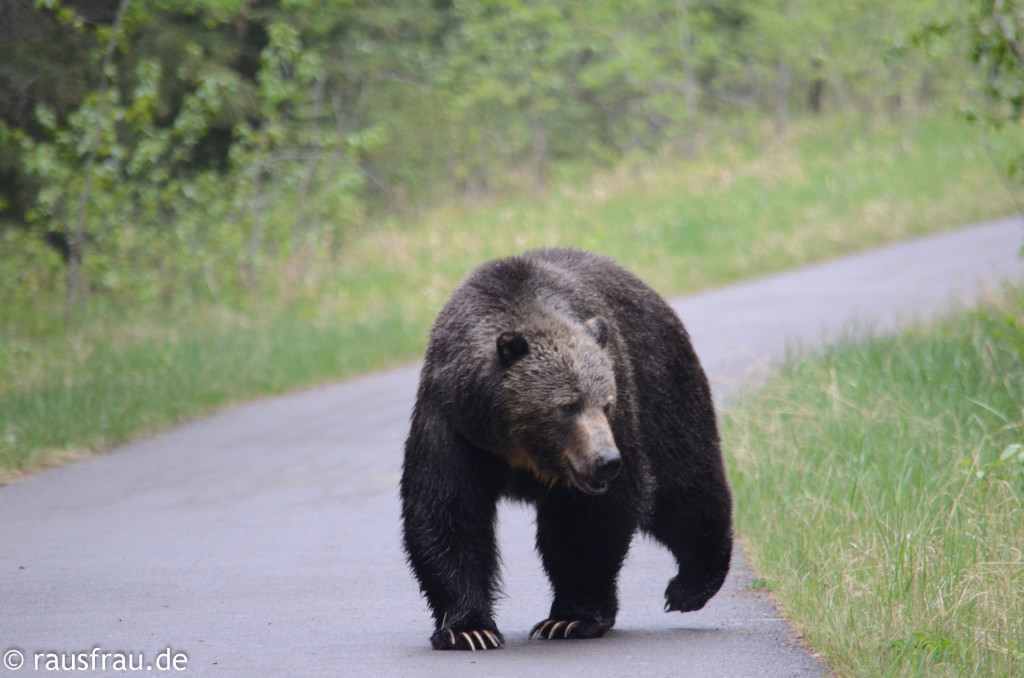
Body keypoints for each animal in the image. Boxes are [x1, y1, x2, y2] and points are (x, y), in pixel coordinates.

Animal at [397, 246, 729, 651]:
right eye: (567, 406)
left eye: (606, 403)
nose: (607, 461)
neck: (515, 444)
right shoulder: (453, 425)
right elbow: (447, 511)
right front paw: (468, 629)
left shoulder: (620, 414)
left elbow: (589, 523)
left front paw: (571, 619)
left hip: (662, 384)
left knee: (685, 485)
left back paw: (691, 585)